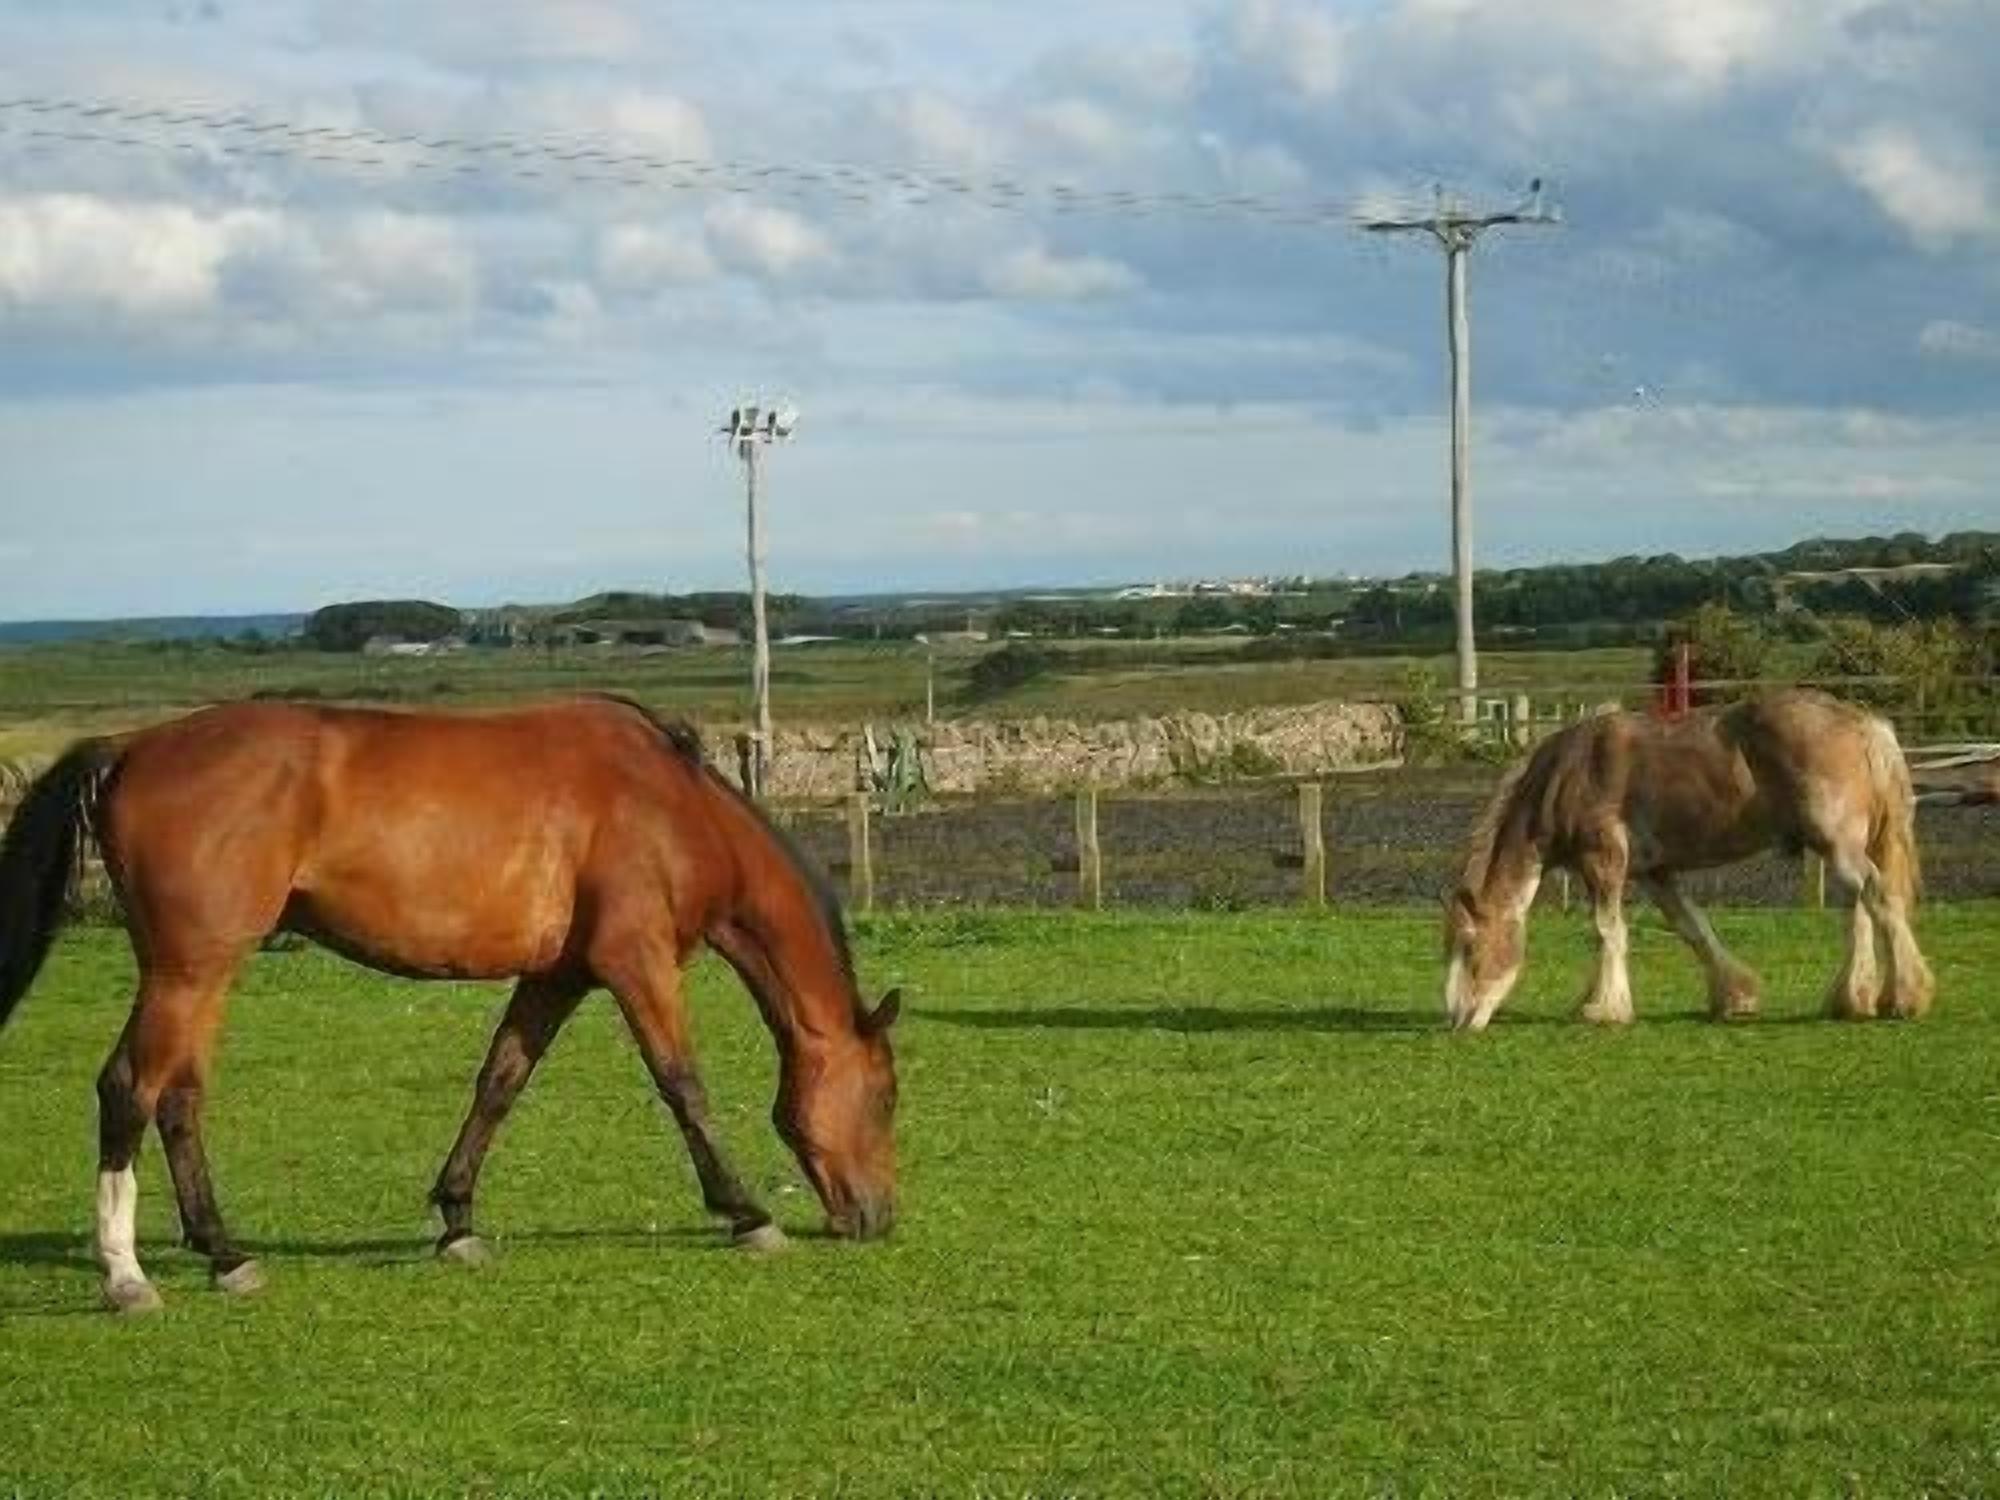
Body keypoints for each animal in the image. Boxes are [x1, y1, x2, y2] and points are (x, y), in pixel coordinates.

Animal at [0, 695, 901, 1313]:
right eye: (888, 1098)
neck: (673, 805)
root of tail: (130, 747)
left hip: (201, 972)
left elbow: (499, 1083)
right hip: (188, 970)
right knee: (128, 1088)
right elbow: (684, 1085)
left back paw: (226, 1254)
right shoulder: (636, 964)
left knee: (179, 1098)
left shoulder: (557, 977)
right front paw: (747, 1214)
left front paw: (458, 1220)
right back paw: (126, 1275)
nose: (880, 1216)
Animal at [1443, 688, 1934, 1031]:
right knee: (1861, 909)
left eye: (1468, 945)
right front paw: (1734, 997)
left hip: (1840, 847)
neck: (1570, 774)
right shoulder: (1656, 872)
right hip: (1841, 849)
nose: (1457, 1019)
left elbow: (1607, 931)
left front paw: (1603, 1008)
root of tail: (1865, 724)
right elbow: (1692, 928)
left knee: (1879, 898)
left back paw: (1906, 998)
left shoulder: (1603, 861)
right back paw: (1854, 1000)